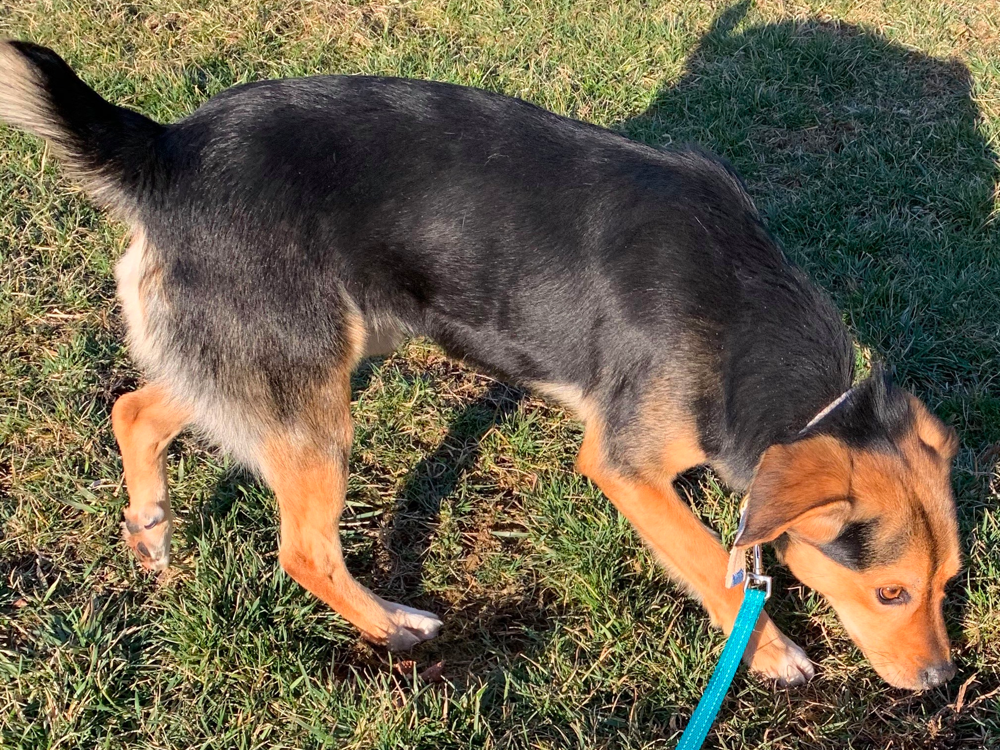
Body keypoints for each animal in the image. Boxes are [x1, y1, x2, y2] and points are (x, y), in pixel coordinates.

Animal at [1, 41, 968, 692]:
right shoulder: (625, 467)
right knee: (304, 548)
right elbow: (709, 561)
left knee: (135, 409)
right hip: (312, 394)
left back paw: (152, 539)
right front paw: (769, 651)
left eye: (949, 584)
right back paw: (394, 627)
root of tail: (169, 151)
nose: (939, 684)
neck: (741, 320)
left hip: (294, 360)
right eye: (890, 592)